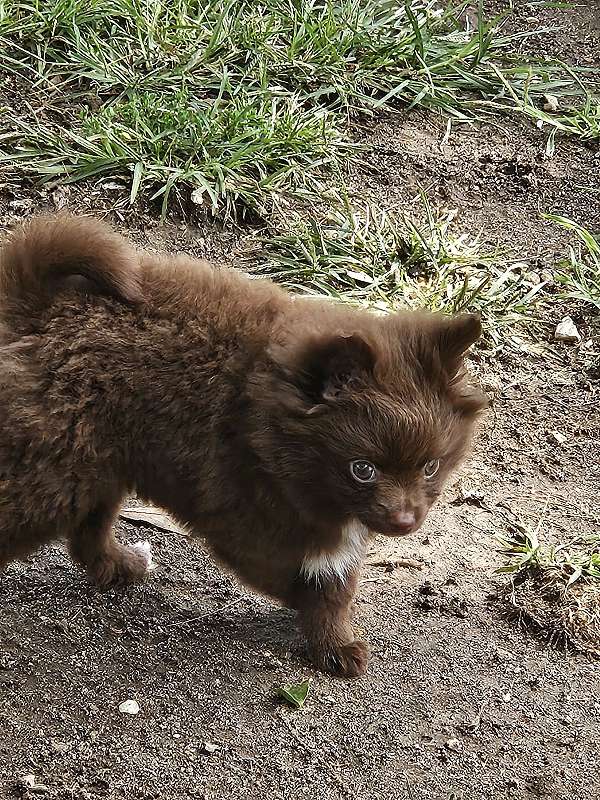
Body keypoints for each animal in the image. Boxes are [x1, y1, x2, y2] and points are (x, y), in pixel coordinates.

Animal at [0, 212, 488, 676]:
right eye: (362, 469)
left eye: (430, 467)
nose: (406, 521)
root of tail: (34, 306)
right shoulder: (245, 519)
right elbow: (310, 578)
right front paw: (325, 631)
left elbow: (335, 580)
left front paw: (334, 644)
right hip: (54, 474)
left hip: (99, 465)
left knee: (88, 530)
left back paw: (122, 566)